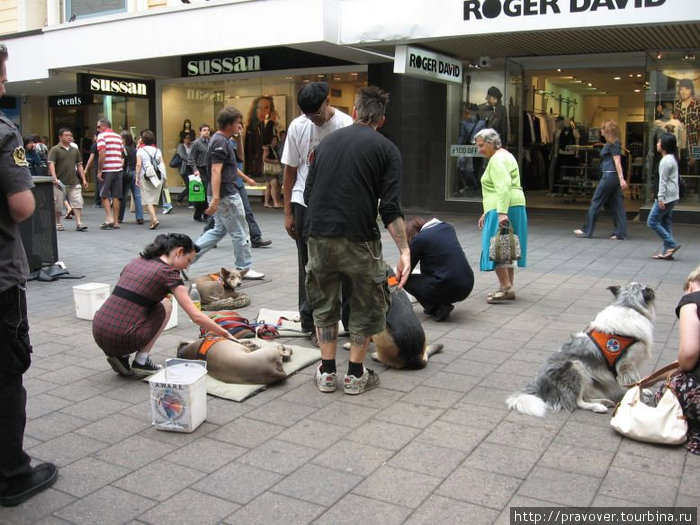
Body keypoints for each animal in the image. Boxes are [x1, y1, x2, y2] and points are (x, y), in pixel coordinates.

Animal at [506, 282, 652, 418]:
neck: (628, 305)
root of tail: (538, 386)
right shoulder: (627, 364)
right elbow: (635, 382)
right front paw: (641, 397)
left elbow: (638, 380)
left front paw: (644, 391)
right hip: (577, 366)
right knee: (578, 402)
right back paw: (598, 406)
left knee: (584, 397)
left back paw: (604, 401)